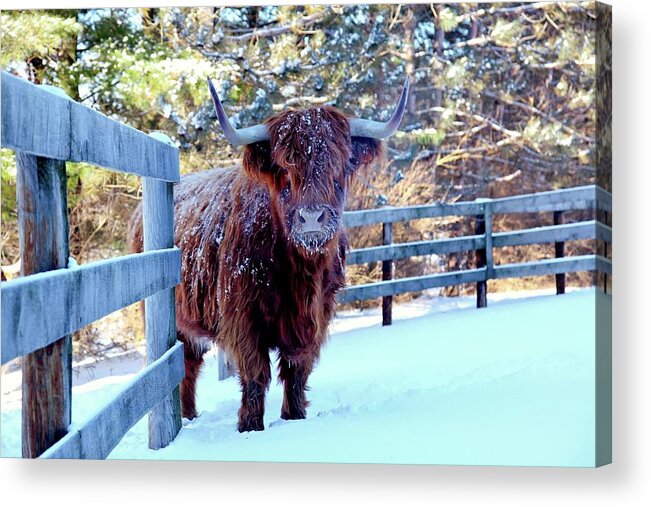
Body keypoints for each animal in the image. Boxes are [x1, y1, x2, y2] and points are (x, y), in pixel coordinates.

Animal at [129, 78, 408, 432]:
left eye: (339, 168)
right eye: (285, 171)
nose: (312, 218)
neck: (300, 273)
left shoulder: (316, 317)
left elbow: (297, 371)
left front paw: (294, 417)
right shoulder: (243, 318)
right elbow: (255, 374)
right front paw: (250, 426)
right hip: (171, 318)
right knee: (187, 365)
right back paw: (189, 417)